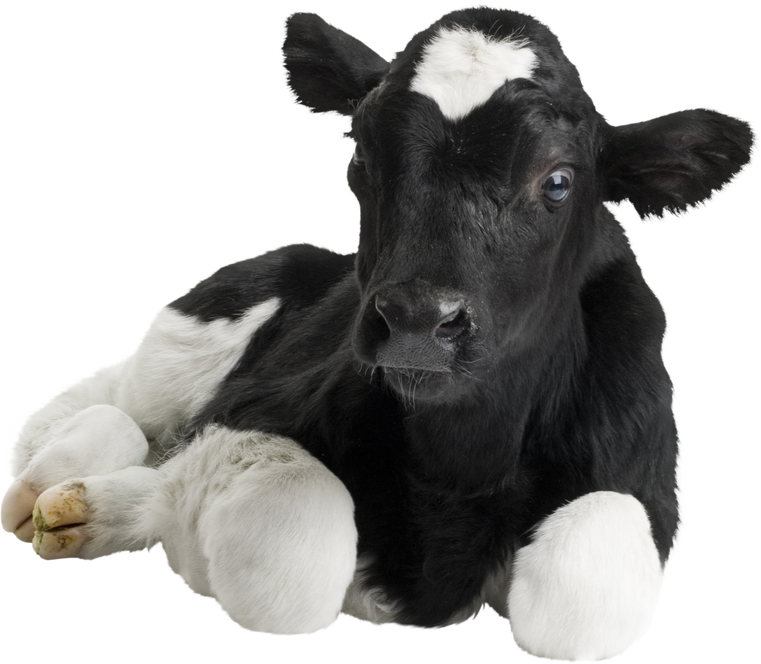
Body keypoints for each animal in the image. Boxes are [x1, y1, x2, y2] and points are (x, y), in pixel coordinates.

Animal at [1, 5, 757, 661]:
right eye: (363, 156)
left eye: (559, 180)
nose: (418, 320)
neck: (460, 463)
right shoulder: (248, 411)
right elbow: (299, 524)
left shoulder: (646, 478)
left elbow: (595, 549)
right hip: (189, 338)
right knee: (118, 409)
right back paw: (53, 488)